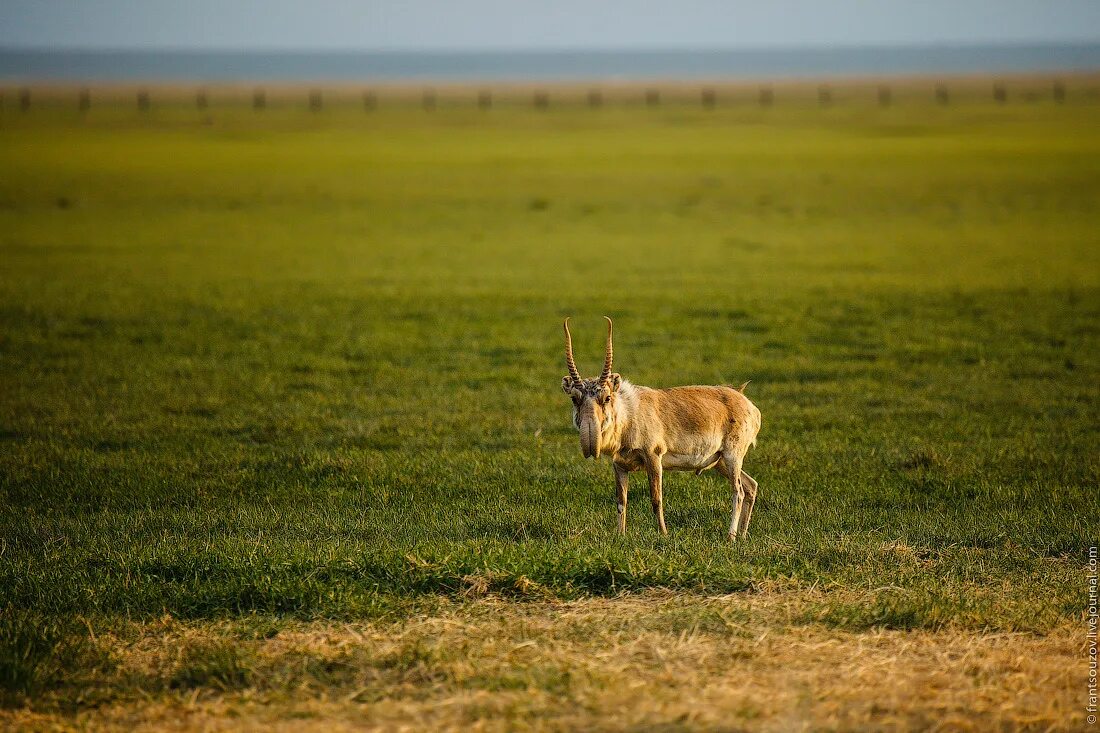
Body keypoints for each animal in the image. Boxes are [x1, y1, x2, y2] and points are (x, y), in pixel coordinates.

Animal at [563, 316, 761, 539]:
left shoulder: (653, 457)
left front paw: (664, 534)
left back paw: (731, 536)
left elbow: (656, 499)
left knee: (739, 490)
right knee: (751, 485)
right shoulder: (619, 465)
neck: (629, 413)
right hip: (719, 461)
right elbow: (621, 501)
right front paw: (620, 535)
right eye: (574, 398)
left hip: (732, 455)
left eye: (606, 397)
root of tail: (750, 405)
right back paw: (743, 535)